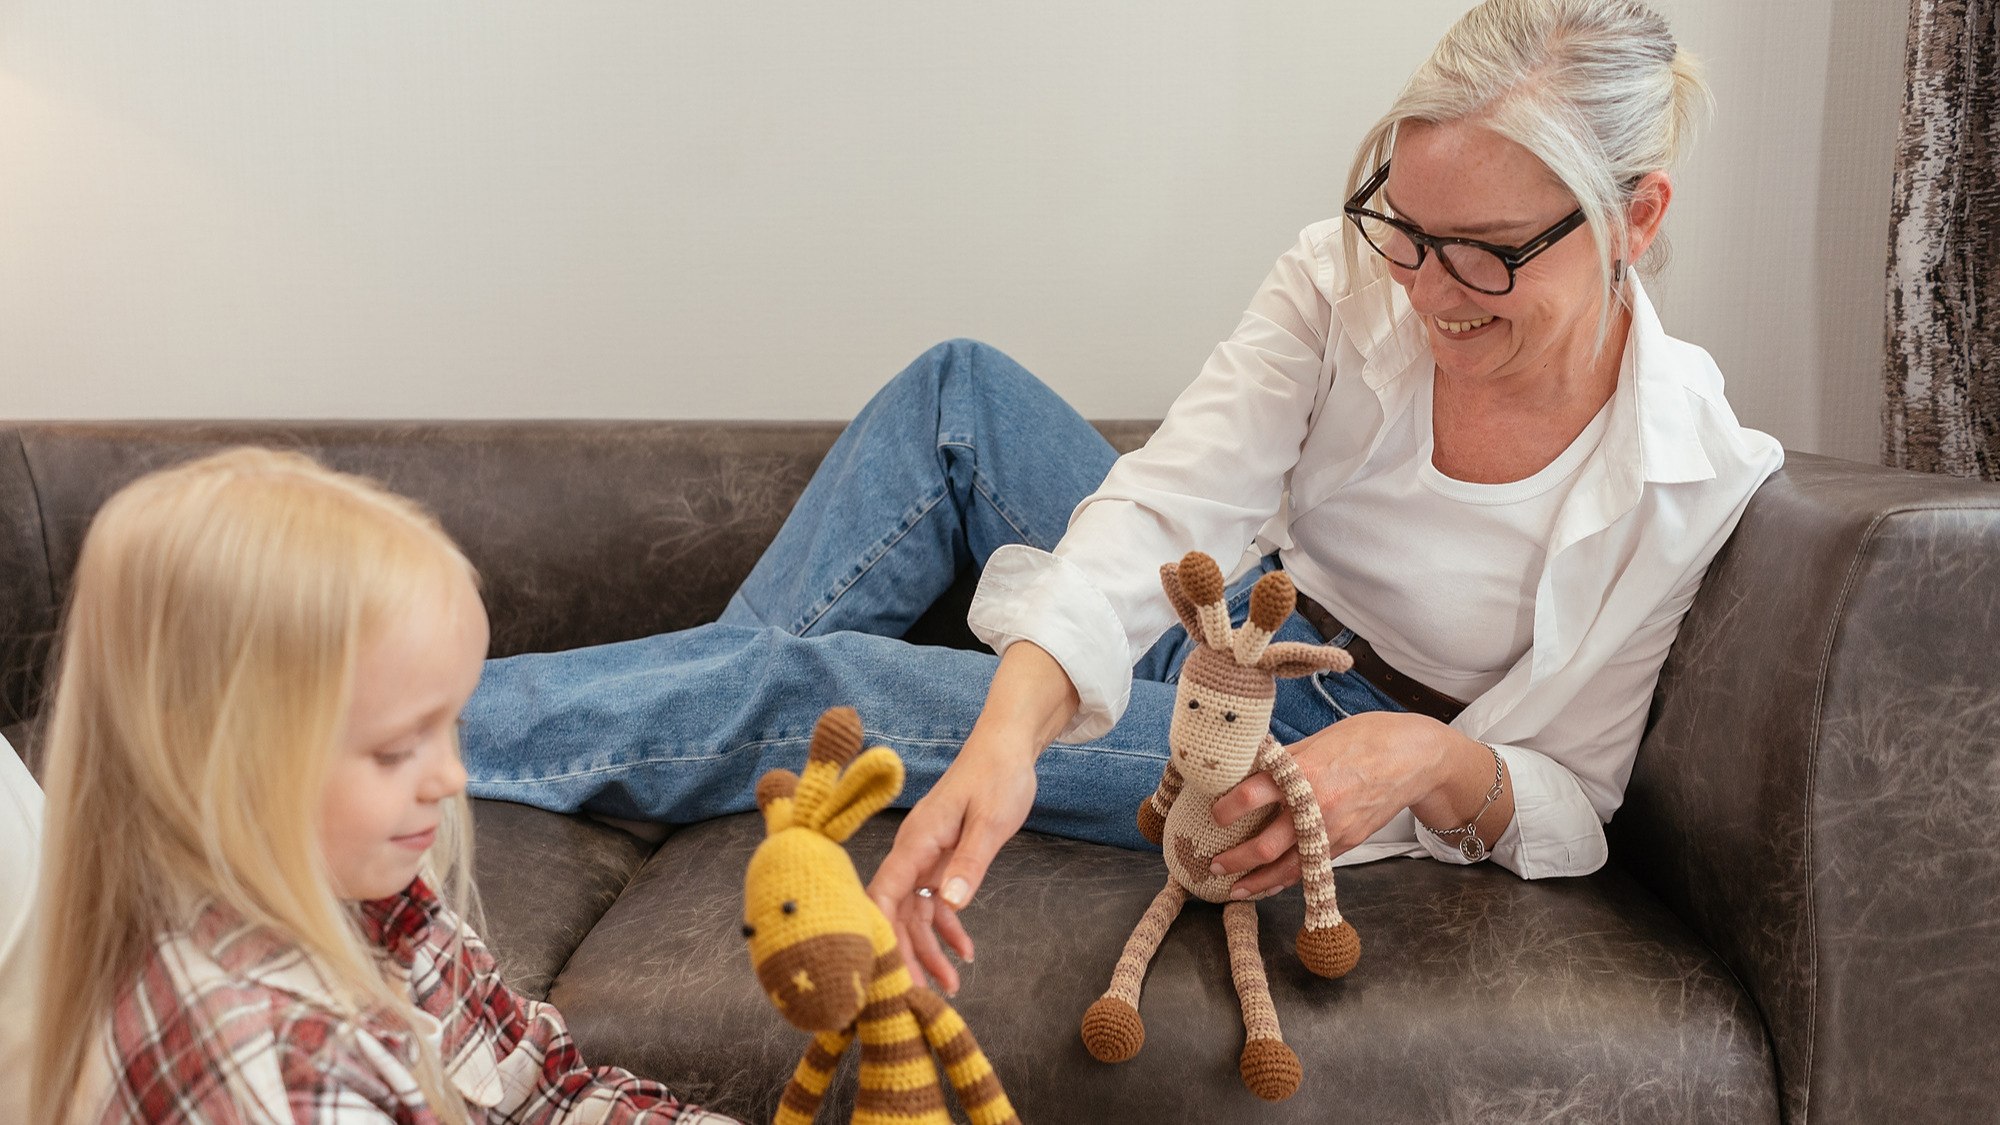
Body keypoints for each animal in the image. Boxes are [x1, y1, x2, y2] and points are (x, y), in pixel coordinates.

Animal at [1088, 548, 1368, 1096]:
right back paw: (1114, 1016)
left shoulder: (1277, 767)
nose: (1196, 755)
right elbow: (1169, 787)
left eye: (1233, 716)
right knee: (1147, 929)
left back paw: (1268, 1054)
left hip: (1240, 901)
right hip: (1173, 884)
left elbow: (1309, 827)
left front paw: (1327, 939)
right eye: (1191, 701)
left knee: (1249, 965)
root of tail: (1202, 894)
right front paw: (1154, 818)